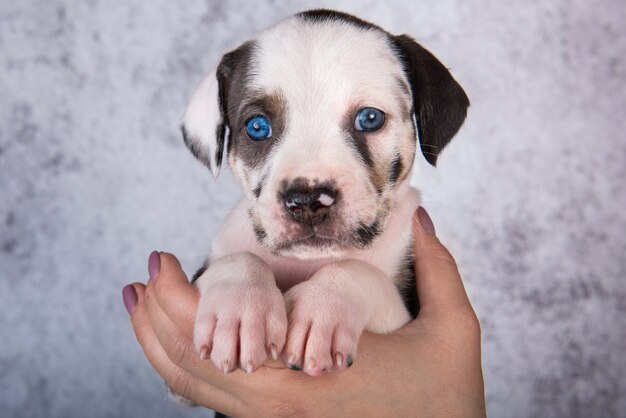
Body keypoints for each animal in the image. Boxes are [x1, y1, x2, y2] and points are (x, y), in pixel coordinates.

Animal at [178, 9, 466, 376]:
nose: (308, 200)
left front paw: (323, 308)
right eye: (257, 126)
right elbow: (239, 259)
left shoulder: (404, 316)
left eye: (369, 118)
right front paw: (240, 308)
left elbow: (358, 271)